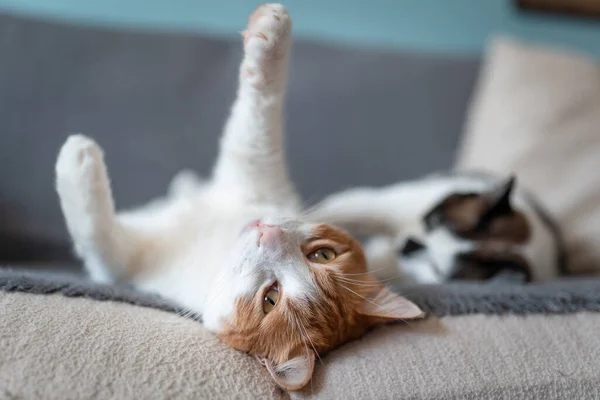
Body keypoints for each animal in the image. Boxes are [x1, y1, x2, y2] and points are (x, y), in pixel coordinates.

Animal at [54, 3, 424, 390]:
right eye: (323, 254)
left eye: (271, 298)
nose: (270, 233)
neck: (221, 240)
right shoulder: (256, 173)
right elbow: (260, 115)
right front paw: (272, 34)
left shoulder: (122, 264)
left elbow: (94, 230)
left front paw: (78, 158)